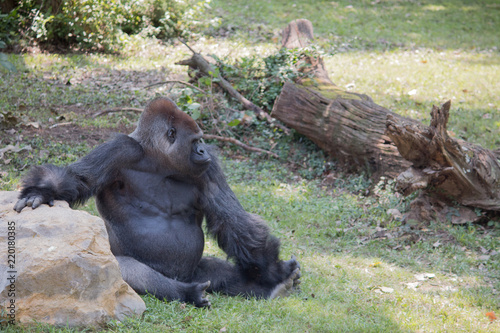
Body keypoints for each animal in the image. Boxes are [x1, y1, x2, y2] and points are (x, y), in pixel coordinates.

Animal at [13, 96, 298, 306]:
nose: (203, 150)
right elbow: (78, 178)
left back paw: (266, 285)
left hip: (194, 271)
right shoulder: (120, 149)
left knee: (218, 274)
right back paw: (186, 293)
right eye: (195, 141)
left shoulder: (209, 166)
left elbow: (235, 222)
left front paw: (272, 271)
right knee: (126, 269)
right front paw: (42, 191)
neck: (157, 158)